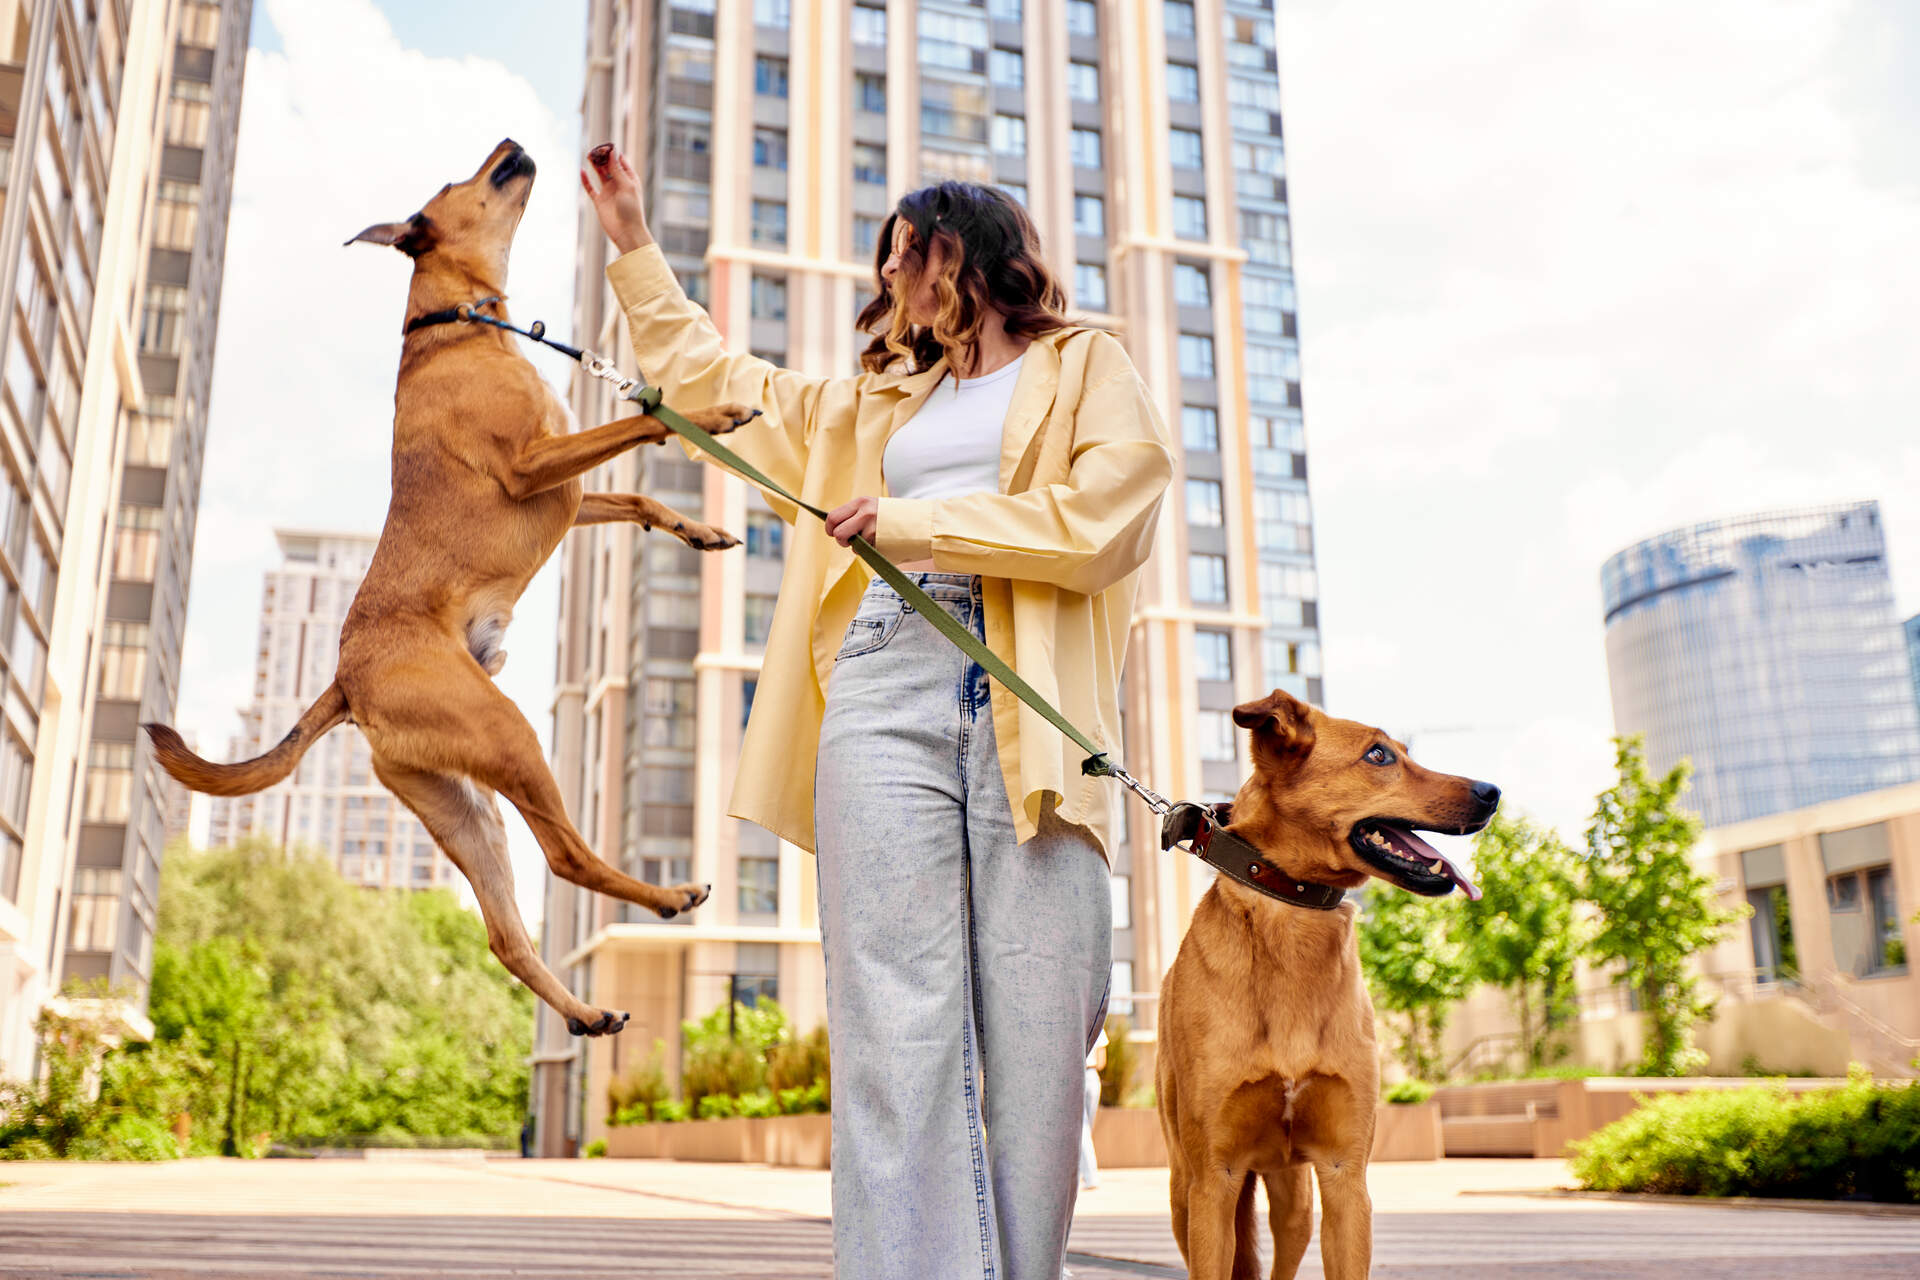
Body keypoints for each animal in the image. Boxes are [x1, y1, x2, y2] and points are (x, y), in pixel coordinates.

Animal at [144, 142, 756, 1043]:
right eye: (450, 182)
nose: (510, 144)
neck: (459, 324)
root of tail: (346, 683)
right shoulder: (537, 466)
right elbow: (642, 420)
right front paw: (712, 412)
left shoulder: (567, 491)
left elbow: (635, 496)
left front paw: (699, 530)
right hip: (506, 737)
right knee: (565, 855)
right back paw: (670, 895)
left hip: (462, 806)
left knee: (507, 935)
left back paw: (586, 1010)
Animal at [1152, 690, 1497, 1280]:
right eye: (1379, 755)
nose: (1492, 792)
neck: (1292, 909)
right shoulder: (1213, 1182)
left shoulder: (1344, 1176)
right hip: (1183, 1194)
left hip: (1294, 1199)